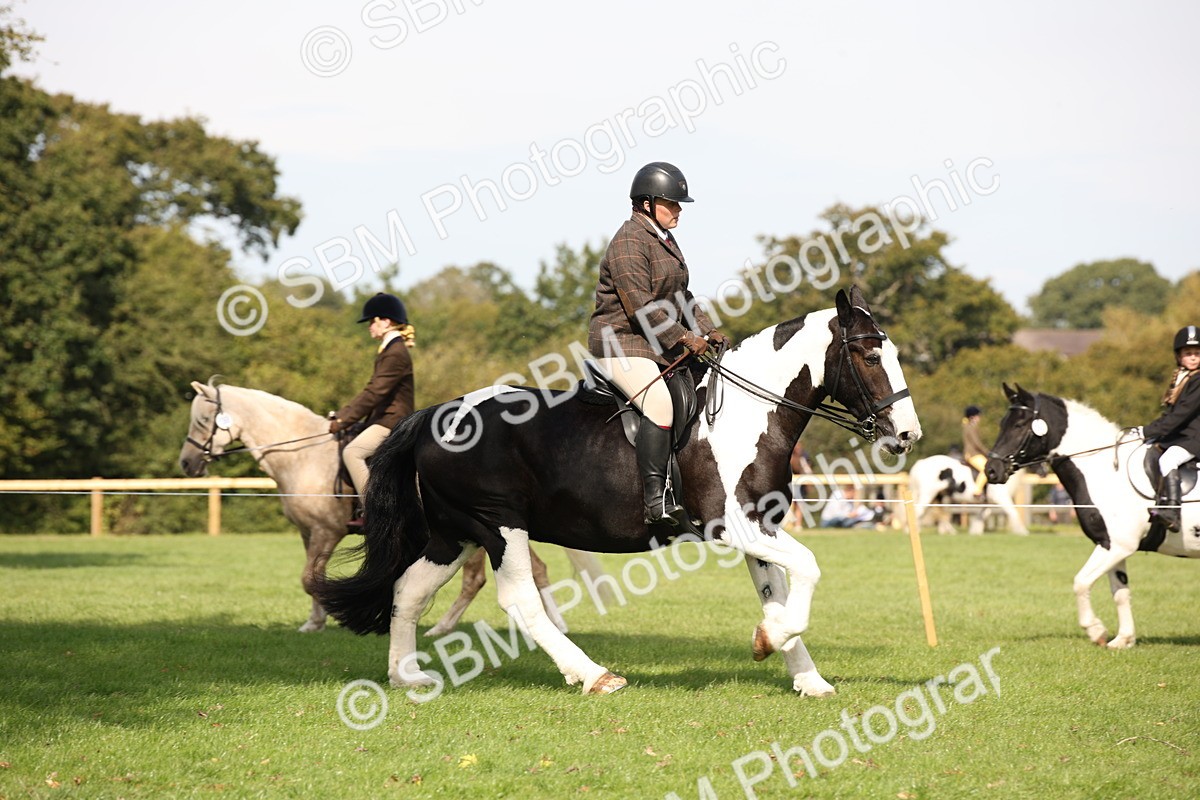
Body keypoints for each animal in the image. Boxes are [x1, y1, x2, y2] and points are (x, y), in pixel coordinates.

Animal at [178, 380, 602, 633]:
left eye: (203, 419)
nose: (187, 463)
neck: (303, 455)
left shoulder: (326, 532)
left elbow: (309, 578)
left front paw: (330, 616)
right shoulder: (307, 533)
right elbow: (310, 578)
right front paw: (315, 621)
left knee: (480, 579)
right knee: (531, 570)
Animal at [316, 286, 922, 697]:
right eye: (870, 356)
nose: (907, 435)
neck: (752, 414)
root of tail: (436, 415)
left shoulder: (760, 525)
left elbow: (776, 590)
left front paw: (798, 669)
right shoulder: (731, 525)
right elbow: (809, 569)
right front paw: (771, 642)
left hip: (454, 533)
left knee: (409, 590)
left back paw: (406, 675)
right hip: (499, 525)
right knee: (519, 600)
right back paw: (593, 675)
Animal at [984, 383, 1200, 649]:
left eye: (1019, 425)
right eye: (1002, 423)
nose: (991, 471)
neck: (1107, 472)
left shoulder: (1117, 545)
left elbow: (1081, 582)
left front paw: (1096, 630)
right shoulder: (1113, 546)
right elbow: (1120, 593)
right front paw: (1123, 639)